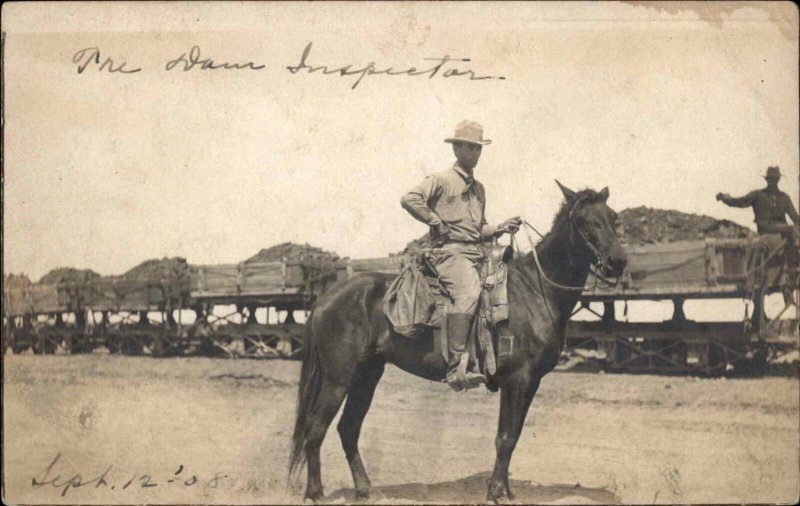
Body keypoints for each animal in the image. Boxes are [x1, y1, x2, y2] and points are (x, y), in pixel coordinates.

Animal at [290, 182, 628, 502]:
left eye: (613, 218)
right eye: (584, 220)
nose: (617, 262)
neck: (536, 290)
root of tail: (324, 299)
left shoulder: (531, 383)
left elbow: (514, 435)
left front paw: (505, 490)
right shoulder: (517, 380)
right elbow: (505, 437)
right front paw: (495, 492)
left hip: (367, 376)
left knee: (348, 428)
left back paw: (363, 489)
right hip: (338, 379)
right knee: (315, 429)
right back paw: (315, 492)